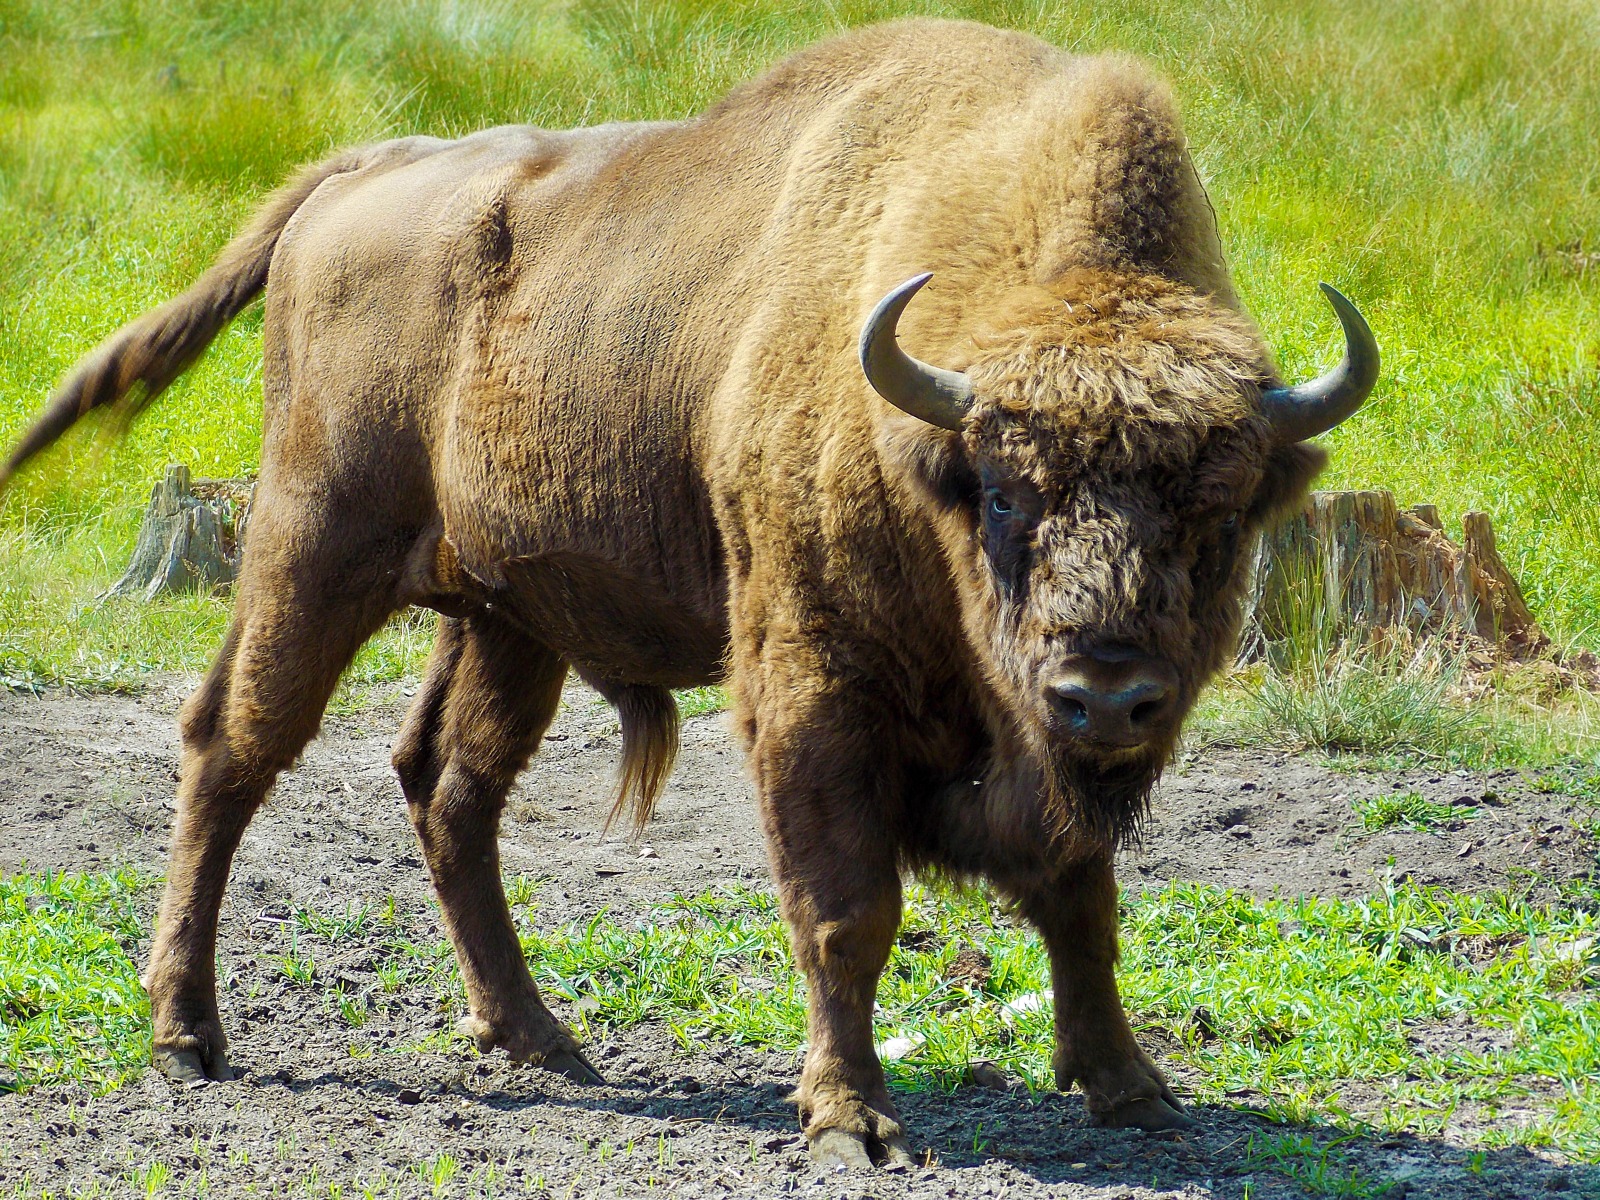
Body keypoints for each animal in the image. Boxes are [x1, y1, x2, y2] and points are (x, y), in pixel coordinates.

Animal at [0, 18, 1376, 1177]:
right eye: (1002, 496)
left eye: (1218, 511)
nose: (1106, 690)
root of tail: (360, 173)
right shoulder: (812, 689)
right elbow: (846, 910)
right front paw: (853, 1122)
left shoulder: (1044, 754)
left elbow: (1082, 900)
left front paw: (1134, 1091)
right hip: (314, 548)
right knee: (231, 750)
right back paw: (188, 1036)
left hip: (507, 622)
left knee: (447, 784)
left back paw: (539, 1038)